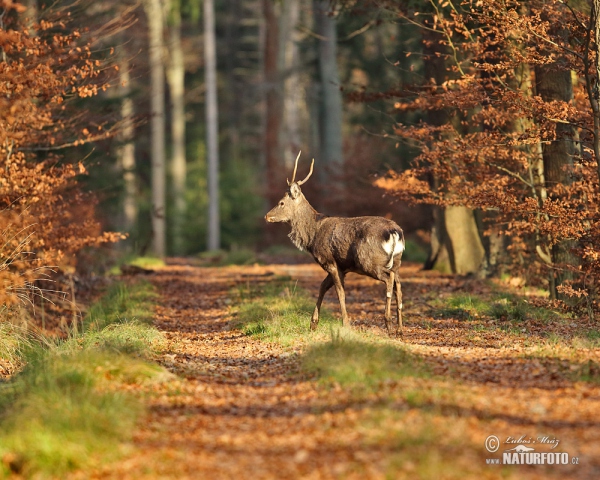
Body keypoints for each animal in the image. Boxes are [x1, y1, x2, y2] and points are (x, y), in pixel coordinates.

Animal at [266, 152, 404, 336]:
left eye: (281, 202)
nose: (267, 215)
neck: (312, 235)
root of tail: (395, 231)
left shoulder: (329, 260)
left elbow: (340, 292)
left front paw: (346, 324)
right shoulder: (342, 267)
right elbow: (323, 287)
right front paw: (313, 324)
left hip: (368, 261)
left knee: (389, 280)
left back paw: (388, 323)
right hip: (396, 262)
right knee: (398, 284)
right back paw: (400, 328)